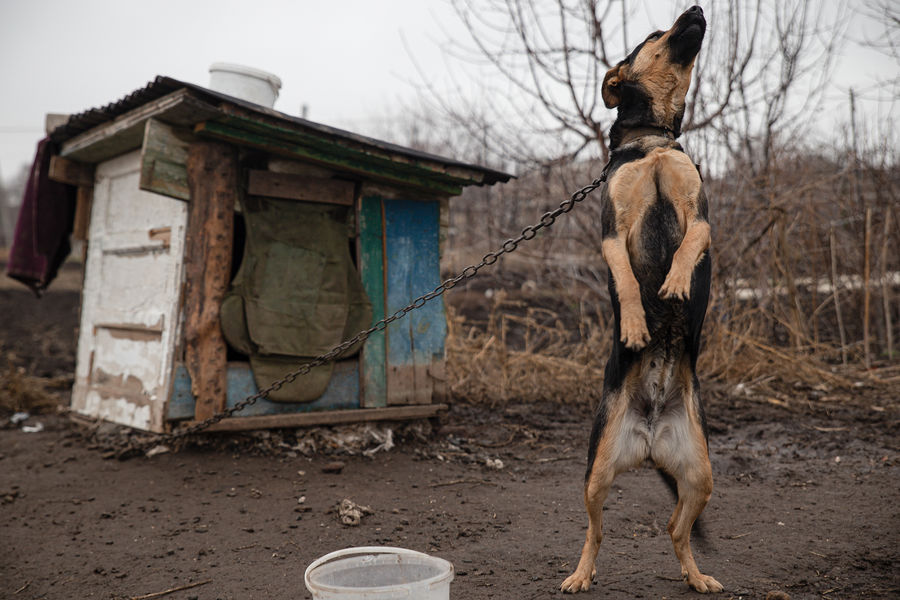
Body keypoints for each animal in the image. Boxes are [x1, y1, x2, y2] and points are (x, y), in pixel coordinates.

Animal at [560, 5, 720, 596]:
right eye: (654, 34)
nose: (697, 9)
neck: (652, 144)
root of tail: (650, 436)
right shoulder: (611, 233)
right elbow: (629, 282)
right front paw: (634, 323)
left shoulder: (700, 217)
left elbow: (689, 247)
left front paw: (675, 283)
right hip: (595, 473)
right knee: (595, 531)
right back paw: (580, 574)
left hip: (701, 473)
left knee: (676, 528)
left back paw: (696, 576)